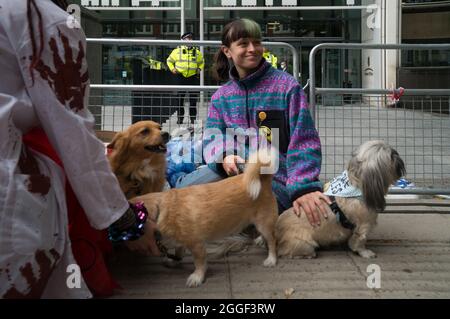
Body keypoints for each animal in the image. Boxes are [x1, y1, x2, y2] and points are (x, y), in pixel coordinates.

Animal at [131, 150, 278, 288]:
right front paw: (174, 260)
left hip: (263, 223)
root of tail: (263, 178)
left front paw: (197, 277)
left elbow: (200, 263)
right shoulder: (182, 242)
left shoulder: (197, 245)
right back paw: (260, 240)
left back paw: (271, 259)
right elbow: (179, 251)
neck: (161, 209)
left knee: (272, 241)